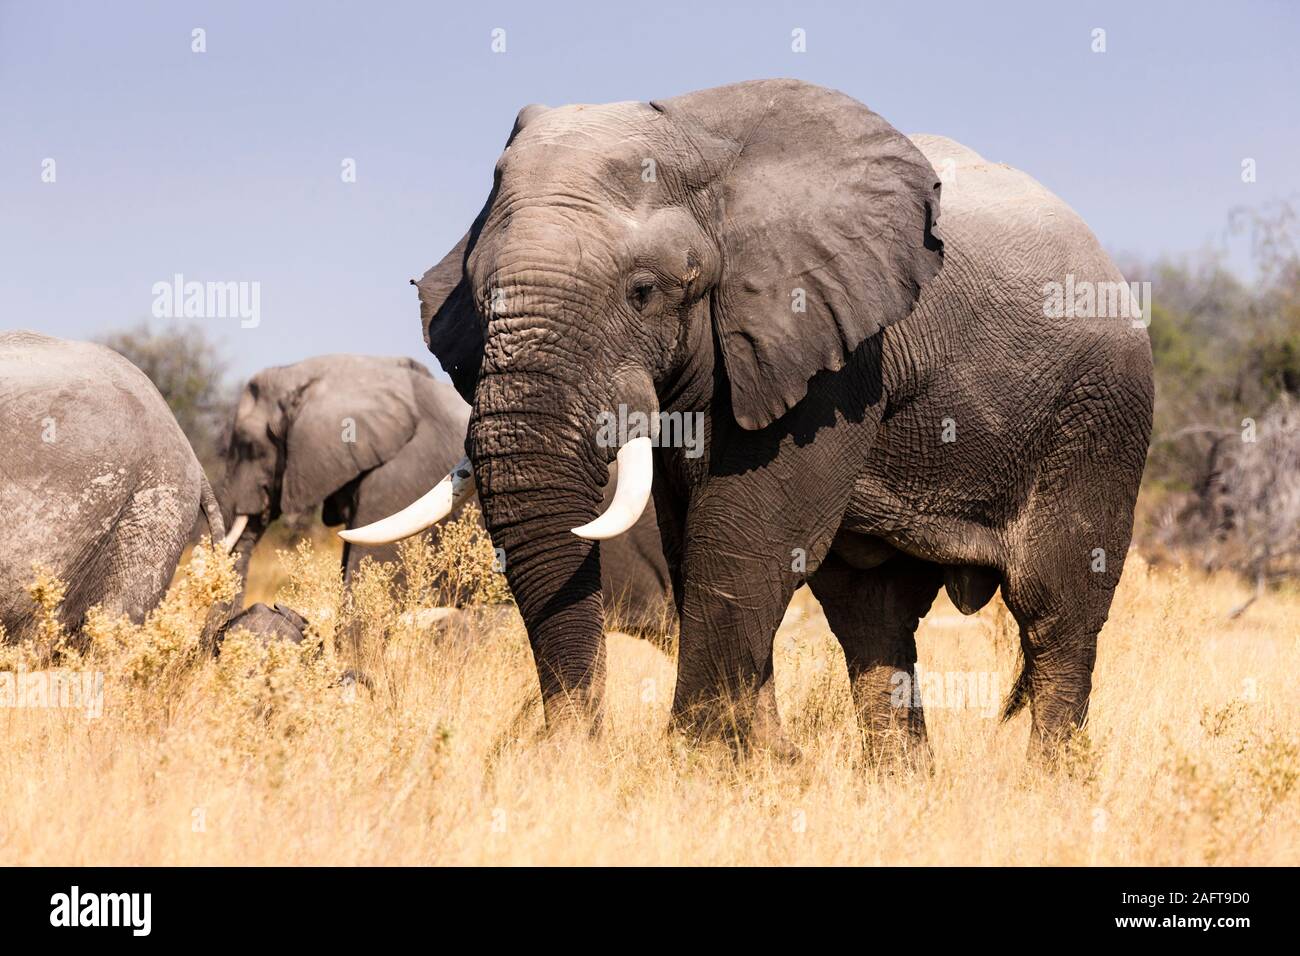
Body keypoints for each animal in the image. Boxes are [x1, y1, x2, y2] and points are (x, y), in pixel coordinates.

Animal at [343, 80, 1149, 764]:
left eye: (644, 292)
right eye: (480, 300)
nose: (562, 748)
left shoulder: (834, 348)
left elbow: (744, 537)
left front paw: (698, 767)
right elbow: (696, 541)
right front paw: (761, 767)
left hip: (1099, 417)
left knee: (1057, 612)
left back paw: (1047, 784)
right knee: (873, 616)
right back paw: (899, 786)